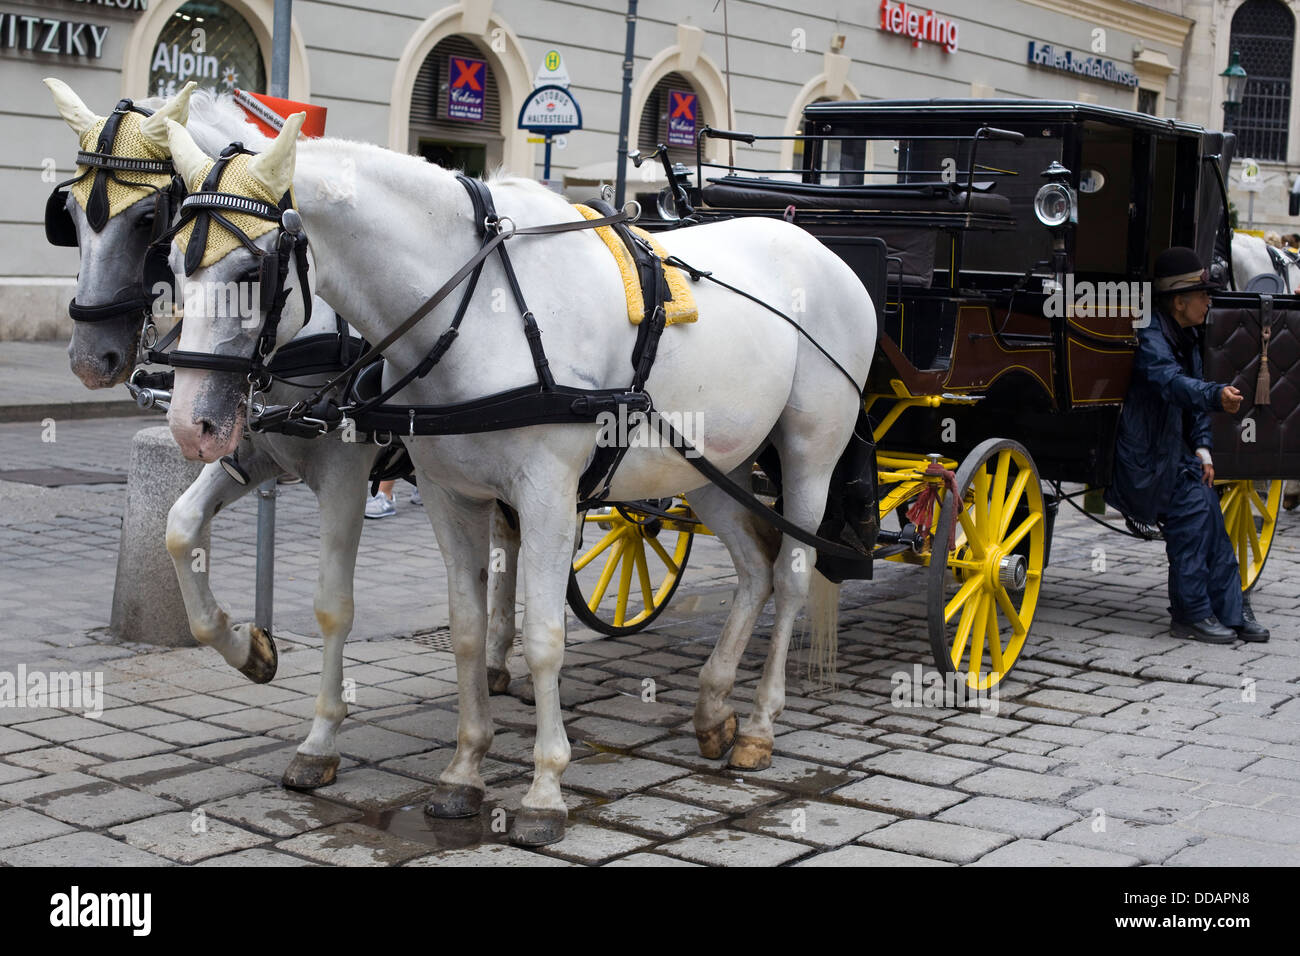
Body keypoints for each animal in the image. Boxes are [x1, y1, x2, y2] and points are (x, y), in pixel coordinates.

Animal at [45, 80, 522, 785]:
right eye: (71, 216)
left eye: (146, 220)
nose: (87, 358)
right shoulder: (249, 447)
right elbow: (179, 530)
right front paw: (248, 647)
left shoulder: (346, 475)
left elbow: (333, 605)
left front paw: (320, 739)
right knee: (508, 542)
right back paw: (493, 660)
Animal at [157, 113, 878, 842]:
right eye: (171, 264)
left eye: (253, 267)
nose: (192, 424)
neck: (477, 308)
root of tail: (813, 243)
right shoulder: (446, 494)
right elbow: (466, 628)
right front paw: (463, 772)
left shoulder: (535, 493)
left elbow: (543, 639)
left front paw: (543, 790)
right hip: (708, 463)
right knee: (755, 570)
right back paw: (712, 708)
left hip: (809, 453)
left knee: (791, 575)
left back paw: (758, 724)